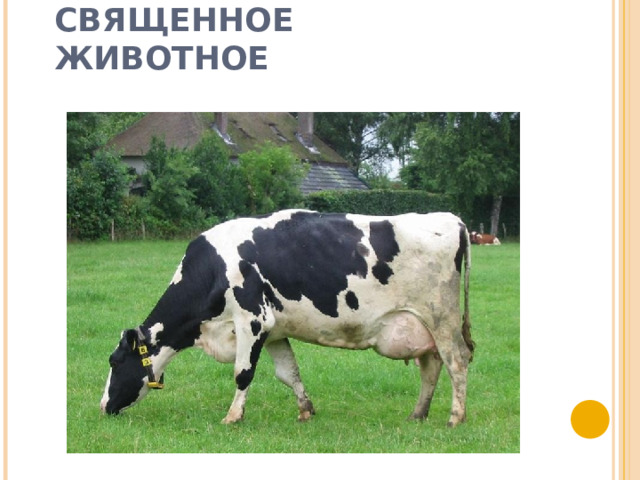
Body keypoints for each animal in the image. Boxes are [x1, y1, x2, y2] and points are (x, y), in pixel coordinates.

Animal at [100, 210, 474, 427]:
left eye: (115, 362)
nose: (103, 405)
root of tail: (453, 219)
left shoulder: (252, 321)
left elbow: (242, 373)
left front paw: (232, 417)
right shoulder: (275, 330)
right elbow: (288, 373)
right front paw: (306, 409)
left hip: (441, 316)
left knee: (456, 360)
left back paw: (455, 417)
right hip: (422, 325)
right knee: (431, 366)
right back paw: (418, 414)